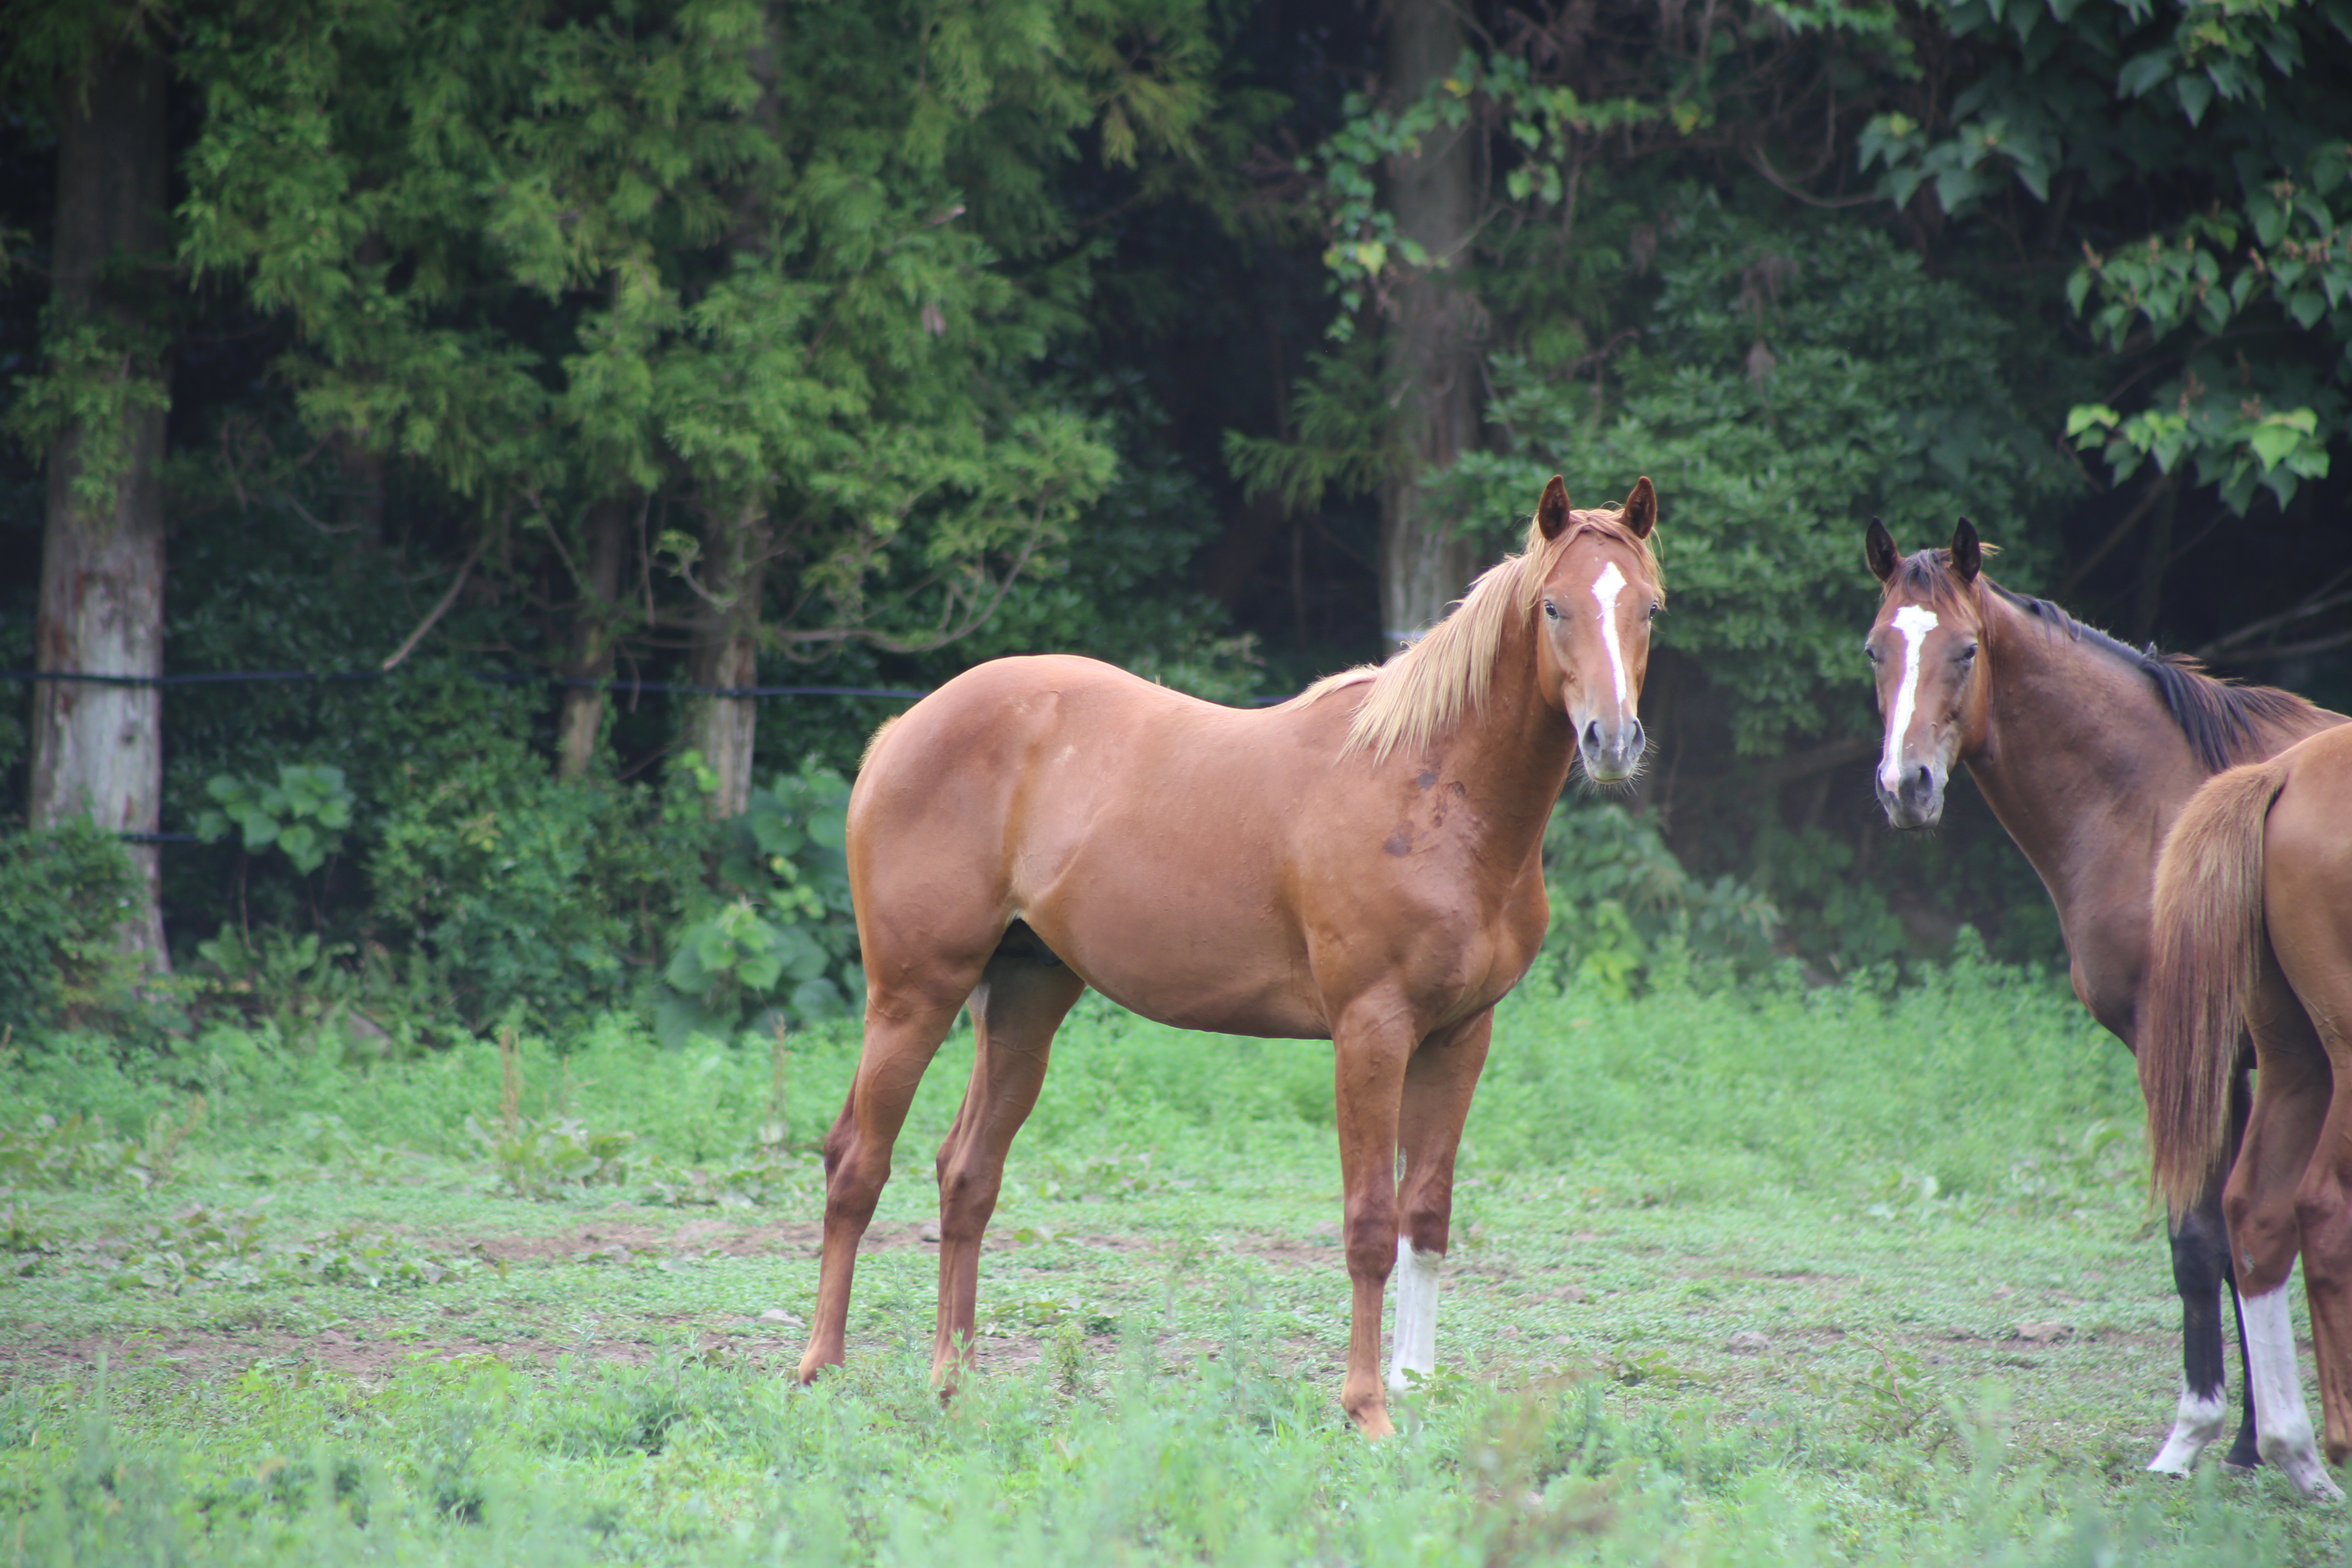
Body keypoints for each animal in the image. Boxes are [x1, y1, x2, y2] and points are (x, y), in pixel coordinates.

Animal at [800, 474, 1665, 1439]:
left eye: (1649, 608)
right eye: (1554, 607)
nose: (1612, 741)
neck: (1431, 788)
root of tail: (905, 729)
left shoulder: (1459, 1037)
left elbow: (1427, 1217)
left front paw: (1415, 1386)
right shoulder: (1372, 1032)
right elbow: (1370, 1223)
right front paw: (1367, 1408)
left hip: (1025, 1001)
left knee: (966, 1175)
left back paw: (954, 1383)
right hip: (913, 997)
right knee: (856, 1164)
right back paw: (821, 1372)